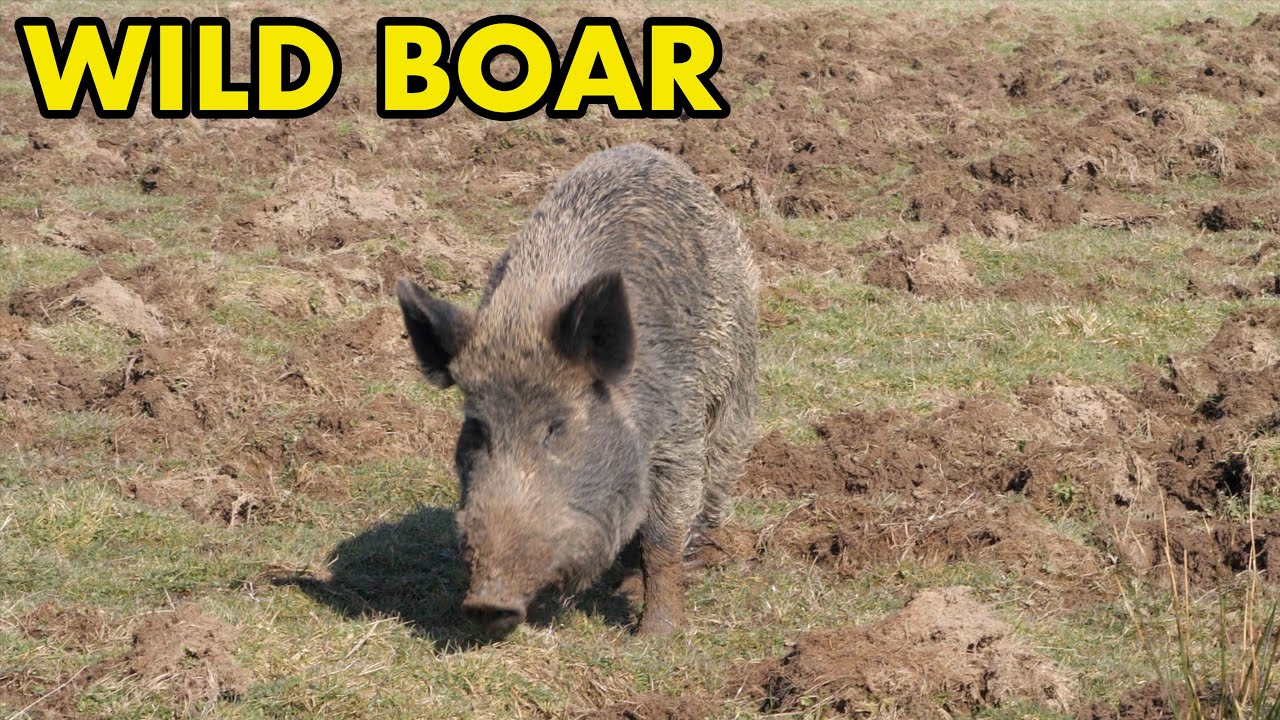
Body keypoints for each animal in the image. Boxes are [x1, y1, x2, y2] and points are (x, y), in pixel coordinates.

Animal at [395, 143, 758, 636]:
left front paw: (657, 636)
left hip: (734, 394)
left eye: (556, 427)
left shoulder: (677, 431)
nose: (487, 603)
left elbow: (662, 538)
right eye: (477, 427)